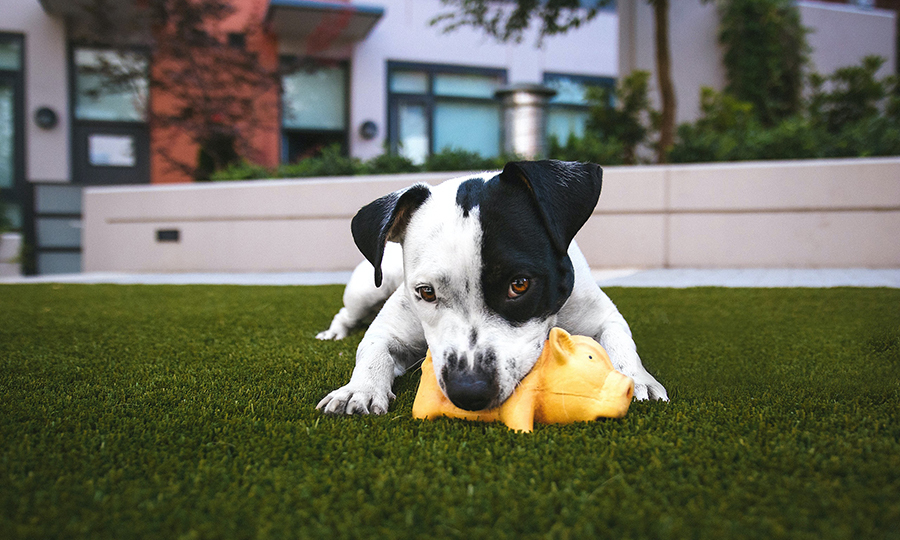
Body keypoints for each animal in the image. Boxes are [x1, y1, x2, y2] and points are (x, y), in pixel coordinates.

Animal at [316, 158, 668, 416]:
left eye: (519, 285)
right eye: (426, 292)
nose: (468, 391)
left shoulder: (602, 316)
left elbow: (620, 341)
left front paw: (637, 379)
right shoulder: (390, 328)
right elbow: (372, 349)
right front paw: (358, 389)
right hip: (368, 288)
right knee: (346, 313)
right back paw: (334, 333)